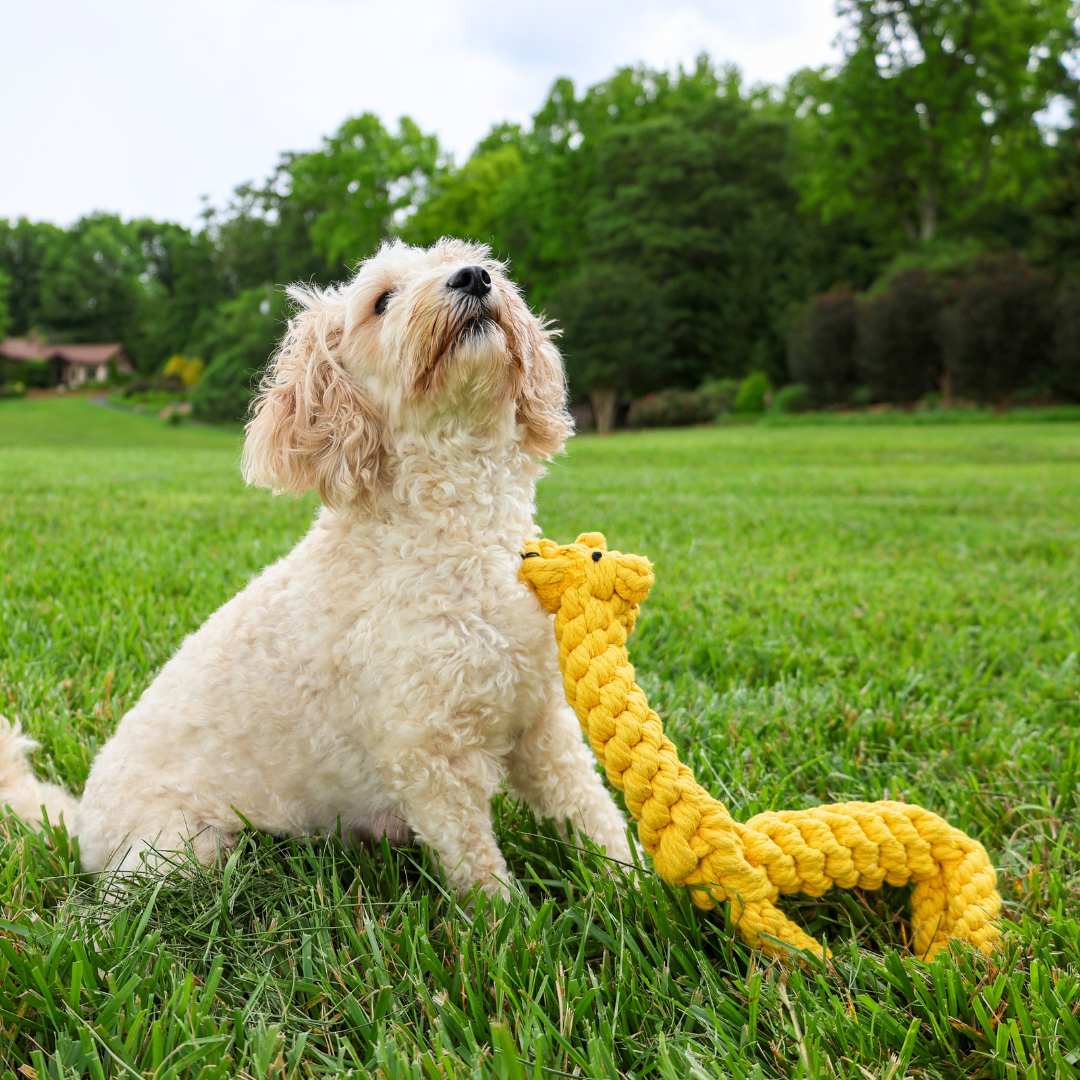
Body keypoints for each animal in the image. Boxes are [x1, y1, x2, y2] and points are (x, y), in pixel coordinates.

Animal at [0, 240, 630, 898]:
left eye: (462, 259)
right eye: (381, 300)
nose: (474, 277)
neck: (457, 530)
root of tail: (80, 829)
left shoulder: (543, 722)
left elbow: (592, 813)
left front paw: (635, 884)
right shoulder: (430, 757)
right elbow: (478, 870)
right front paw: (502, 916)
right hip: (181, 849)